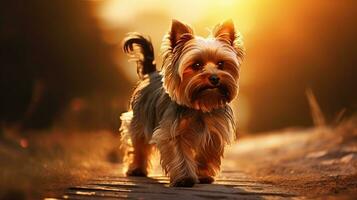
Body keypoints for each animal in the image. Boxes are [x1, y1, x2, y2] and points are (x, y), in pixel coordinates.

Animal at [119, 19, 242, 187]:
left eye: (221, 64)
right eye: (196, 65)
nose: (214, 78)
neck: (200, 106)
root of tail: (150, 74)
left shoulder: (214, 132)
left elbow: (207, 154)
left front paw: (203, 175)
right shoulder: (172, 132)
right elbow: (179, 154)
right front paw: (185, 178)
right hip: (138, 120)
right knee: (138, 144)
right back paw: (137, 168)